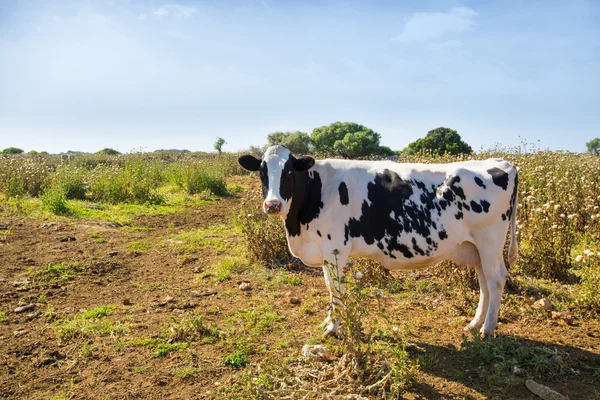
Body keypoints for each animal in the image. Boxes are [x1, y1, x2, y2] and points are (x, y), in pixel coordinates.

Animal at [237, 145, 516, 338]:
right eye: (262, 173)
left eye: (289, 171)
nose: (273, 205)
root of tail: (503, 163)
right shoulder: (325, 252)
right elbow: (329, 287)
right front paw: (329, 321)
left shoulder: (335, 248)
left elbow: (336, 289)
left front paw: (334, 327)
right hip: (476, 248)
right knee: (484, 282)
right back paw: (475, 323)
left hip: (490, 241)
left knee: (495, 280)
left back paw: (487, 329)